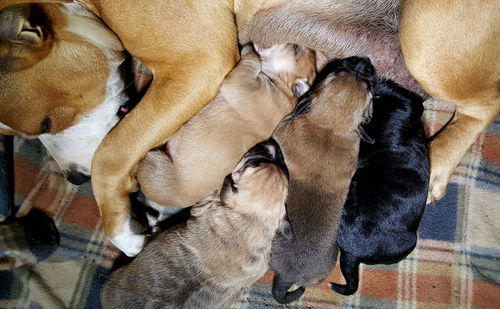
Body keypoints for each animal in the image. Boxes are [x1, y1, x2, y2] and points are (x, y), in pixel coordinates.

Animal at [137, 42, 316, 207]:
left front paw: (249, 51)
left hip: (154, 161)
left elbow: (252, 62)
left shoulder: (242, 83)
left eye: (294, 49)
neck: (283, 86)